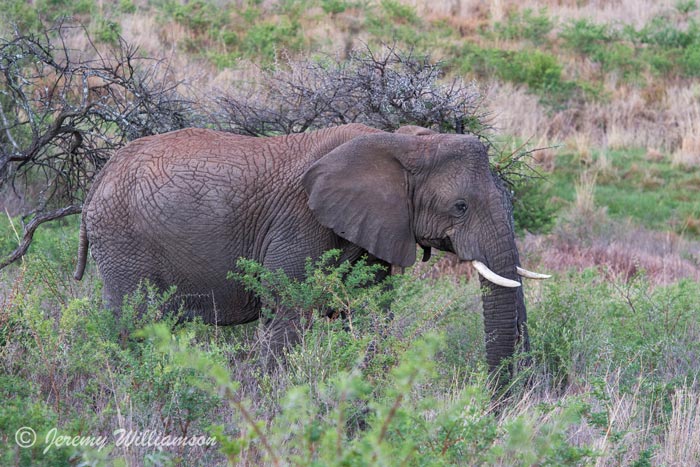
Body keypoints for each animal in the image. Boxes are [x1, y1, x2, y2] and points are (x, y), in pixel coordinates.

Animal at [74, 123, 548, 376]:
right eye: (460, 206)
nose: (499, 401)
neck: (399, 142)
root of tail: (99, 176)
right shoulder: (299, 222)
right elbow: (288, 310)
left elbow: (367, 312)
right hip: (122, 238)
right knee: (132, 320)